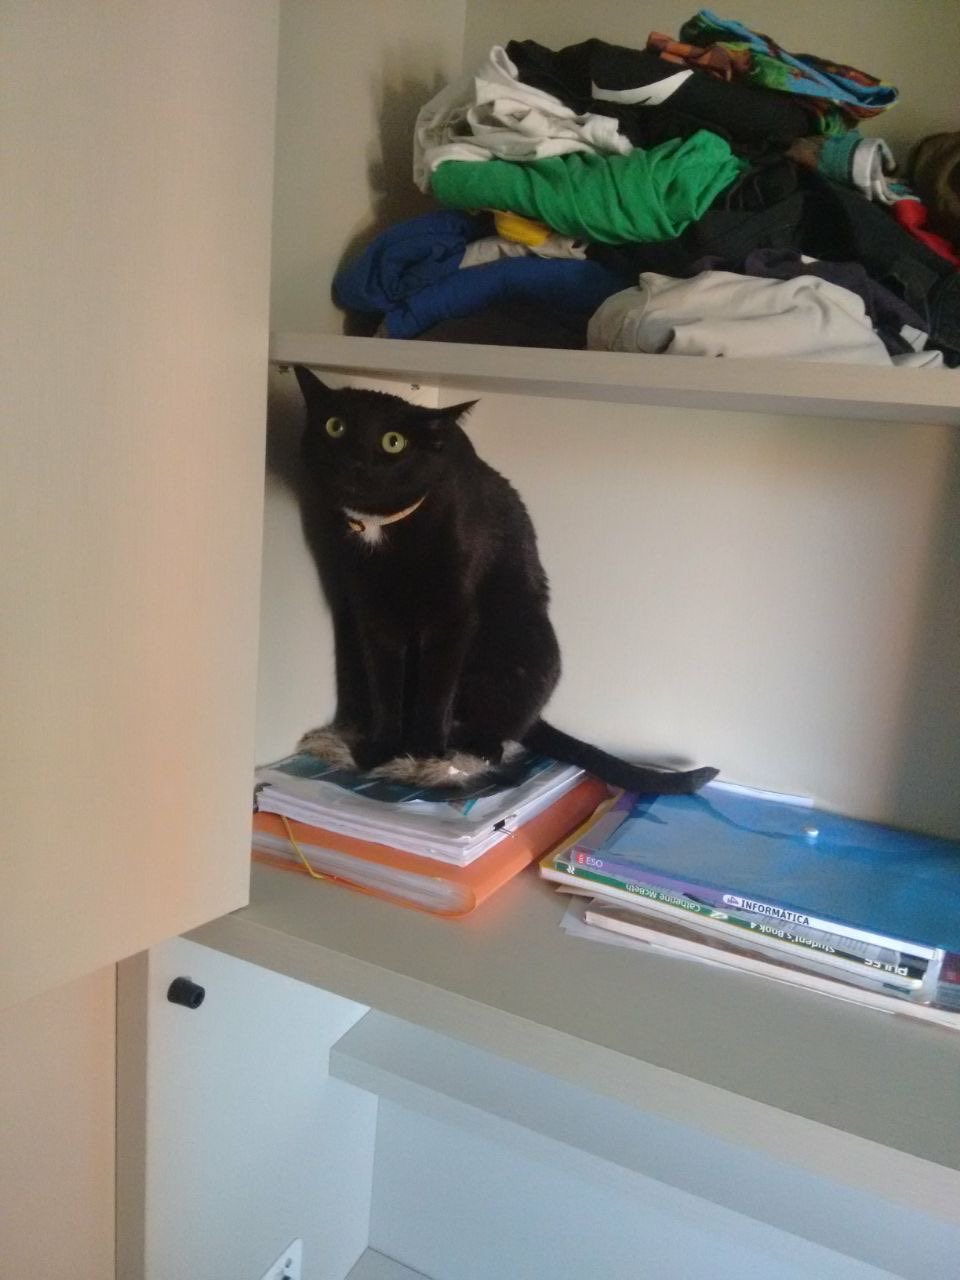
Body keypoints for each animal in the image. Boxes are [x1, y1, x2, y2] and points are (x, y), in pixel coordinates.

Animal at [292, 365, 717, 795]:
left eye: (393, 442)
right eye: (335, 426)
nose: (353, 462)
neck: (382, 529)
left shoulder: (453, 616)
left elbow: (436, 689)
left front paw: (422, 753)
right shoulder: (372, 613)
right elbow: (384, 685)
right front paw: (381, 750)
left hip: (525, 644)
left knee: (498, 734)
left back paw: (463, 749)